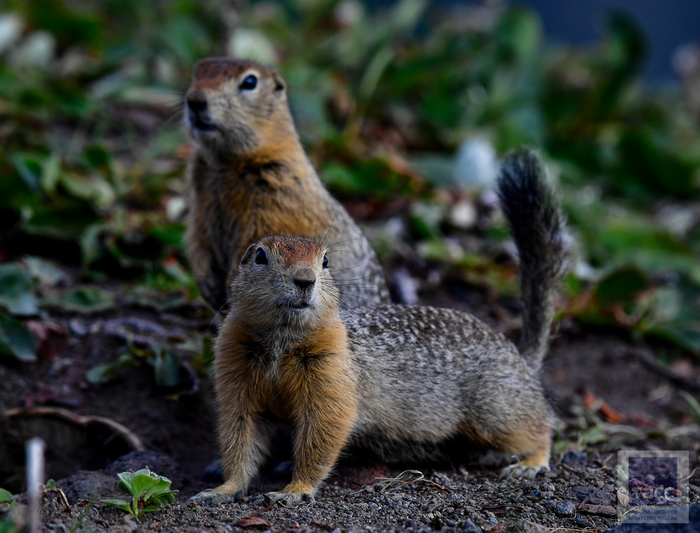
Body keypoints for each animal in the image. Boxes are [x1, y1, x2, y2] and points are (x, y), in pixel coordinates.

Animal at [183, 57, 392, 312]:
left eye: (250, 82)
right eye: (196, 73)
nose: (195, 100)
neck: (222, 161)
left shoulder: (278, 192)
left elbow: (260, 235)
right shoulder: (200, 196)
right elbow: (198, 235)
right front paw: (205, 283)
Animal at [190, 149, 568, 502]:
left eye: (325, 261)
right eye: (260, 256)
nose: (305, 280)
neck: (281, 341)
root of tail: (520, 360)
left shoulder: (331, 378)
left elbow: (322, 436)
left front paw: (295, 490)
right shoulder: (238, 377)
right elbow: (240, 437)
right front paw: (223, 489)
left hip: (496, 409)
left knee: (541, 426)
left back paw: (529, 464)